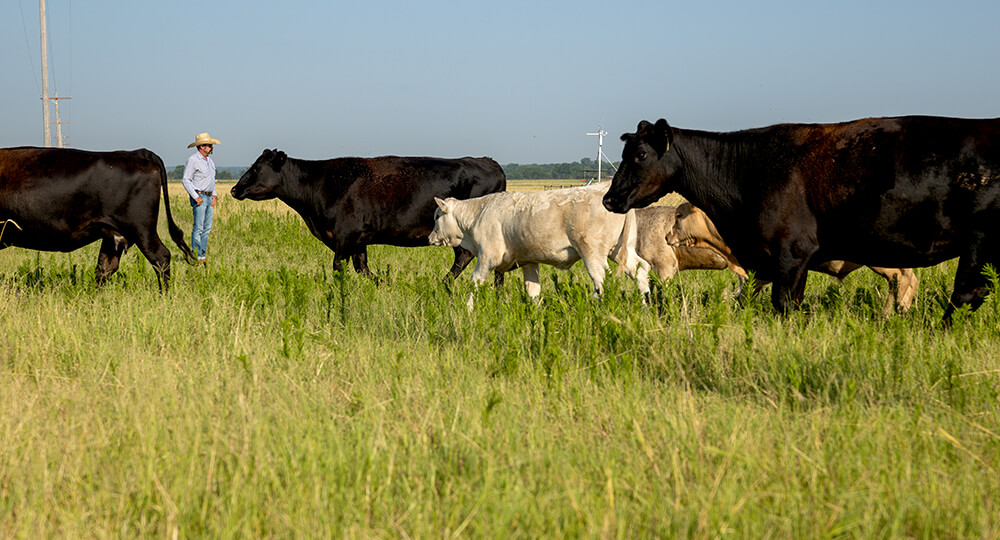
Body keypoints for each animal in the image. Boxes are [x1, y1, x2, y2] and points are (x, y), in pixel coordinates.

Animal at [0, 146, 195, 292]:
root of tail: (136, 153)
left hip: (142, 230)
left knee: (161, 257)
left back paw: (164, 296)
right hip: (113, 234)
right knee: (105, 268)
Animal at [233, 149, 508, 278]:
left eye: (256, 168)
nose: (235, 189)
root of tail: (488, 161)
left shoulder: (345, 236)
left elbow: (339, 268)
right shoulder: (358, 240)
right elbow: (362, 268)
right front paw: (385, 286)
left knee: (463, 257)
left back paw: (443, 285)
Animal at [428, 184, 648, 304]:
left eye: (437, 216)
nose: (430, 238)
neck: (479, 213)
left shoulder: (486, 258)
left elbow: (475, 284)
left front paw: (469, 309)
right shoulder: (529, 263)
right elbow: (533, 291)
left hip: (592, 253)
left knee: (601, 281)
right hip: (619, 250)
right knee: (641, 269)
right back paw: (646, 304)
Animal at [604, 117, 1000, 320]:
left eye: (640, 154)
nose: (609, 199)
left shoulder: (791, 252)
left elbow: (782, 303)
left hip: (978, 240)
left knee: (962, 293)